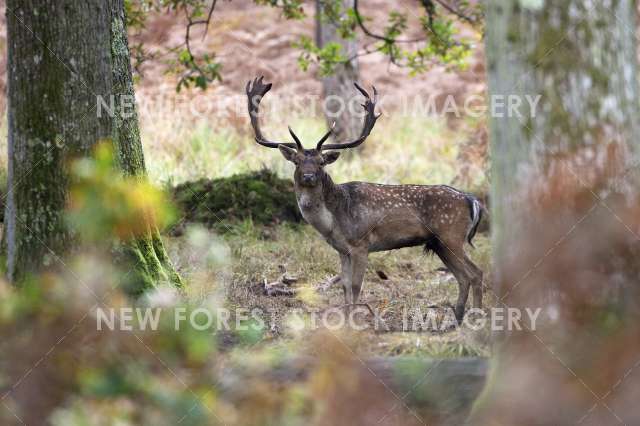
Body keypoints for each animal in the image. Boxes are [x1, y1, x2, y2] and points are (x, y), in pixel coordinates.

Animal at [248, 77, 482, 322]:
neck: (333, 222)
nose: (309, 176)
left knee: (475, 273)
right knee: (464, 276)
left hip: (451, 236)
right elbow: (344, 285)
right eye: (297, 161)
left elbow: (356, 285)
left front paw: (354, 319)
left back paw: (475, 318)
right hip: (439, 243)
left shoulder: (362, 243)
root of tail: (473, 201)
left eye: (321, 162)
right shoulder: (342, 249)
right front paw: (345, 318)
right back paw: (457, 319)